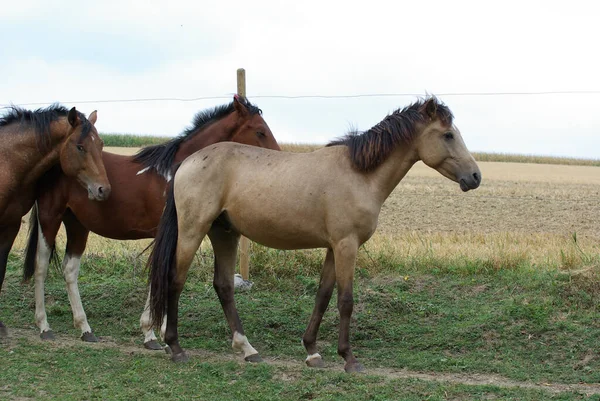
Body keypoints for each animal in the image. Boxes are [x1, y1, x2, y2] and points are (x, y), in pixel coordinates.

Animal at [0, 104, 111, 336]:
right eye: (80, 147)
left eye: (101, 144)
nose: (103, 190)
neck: (6, 162)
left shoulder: (10, 225)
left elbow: (1, 270)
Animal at [23, 96, 282, 344]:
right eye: (260, 131)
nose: (277, 158)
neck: (176, 174)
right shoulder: (165, 234)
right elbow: (162, 274)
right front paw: (153, 334)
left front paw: (161, 332)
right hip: (50, 217)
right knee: (41, 266)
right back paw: (44, 326)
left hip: (78, 224)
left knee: (70, 270)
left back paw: (85, 328)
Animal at [146, 97, 482, 372]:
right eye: (448, 135)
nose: (475, 176)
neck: (359, 173)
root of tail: (187, 162)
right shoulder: (347, 245)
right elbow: (345, 300)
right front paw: (349, 359)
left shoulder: (334, 247)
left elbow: (323, 295)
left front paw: (312, 351)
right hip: (194, 230)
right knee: (175, 280)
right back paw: (175, 347)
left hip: (224, 233)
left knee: (224, 287)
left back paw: (248, 350)